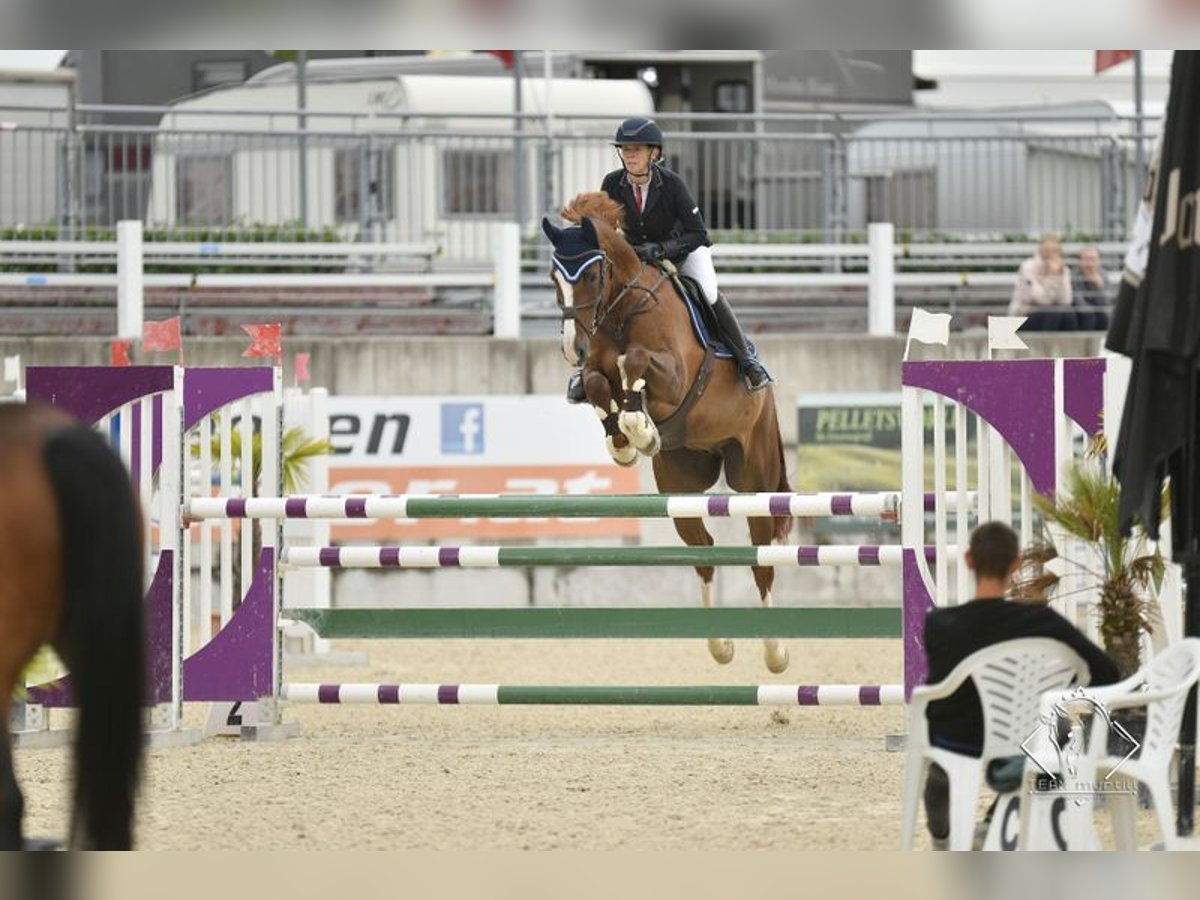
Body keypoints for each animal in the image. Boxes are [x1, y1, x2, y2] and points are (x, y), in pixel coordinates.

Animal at [547, 196, 796, 676]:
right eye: (553, 277)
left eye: (591, 275)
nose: (572, 349)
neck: (620, 309)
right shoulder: (595, 372)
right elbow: (599, 383)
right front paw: (627, 441)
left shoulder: (675, 375)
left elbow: (635, 361)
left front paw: (639, 428)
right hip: (681, 487)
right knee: (704, 553)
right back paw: (720, 647)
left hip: (753, 478)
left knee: (761, 558)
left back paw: (776, 653)